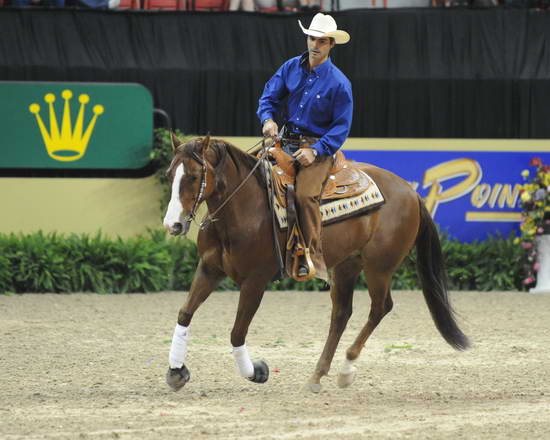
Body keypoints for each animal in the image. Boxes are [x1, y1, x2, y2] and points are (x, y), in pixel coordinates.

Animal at [164, 134, 470, 392]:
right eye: (169, 175)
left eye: (193, 176)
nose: (173, 225)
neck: (244, 208)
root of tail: (411, 192)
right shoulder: (209, 269)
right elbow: (184, 313)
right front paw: (177, 371)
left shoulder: (255, 281)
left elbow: (237, 332)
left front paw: (257, 372)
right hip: (346, 266)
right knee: (342, 313)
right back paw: (318, 374)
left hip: (379, 267)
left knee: (380, 308)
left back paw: (346, 369)